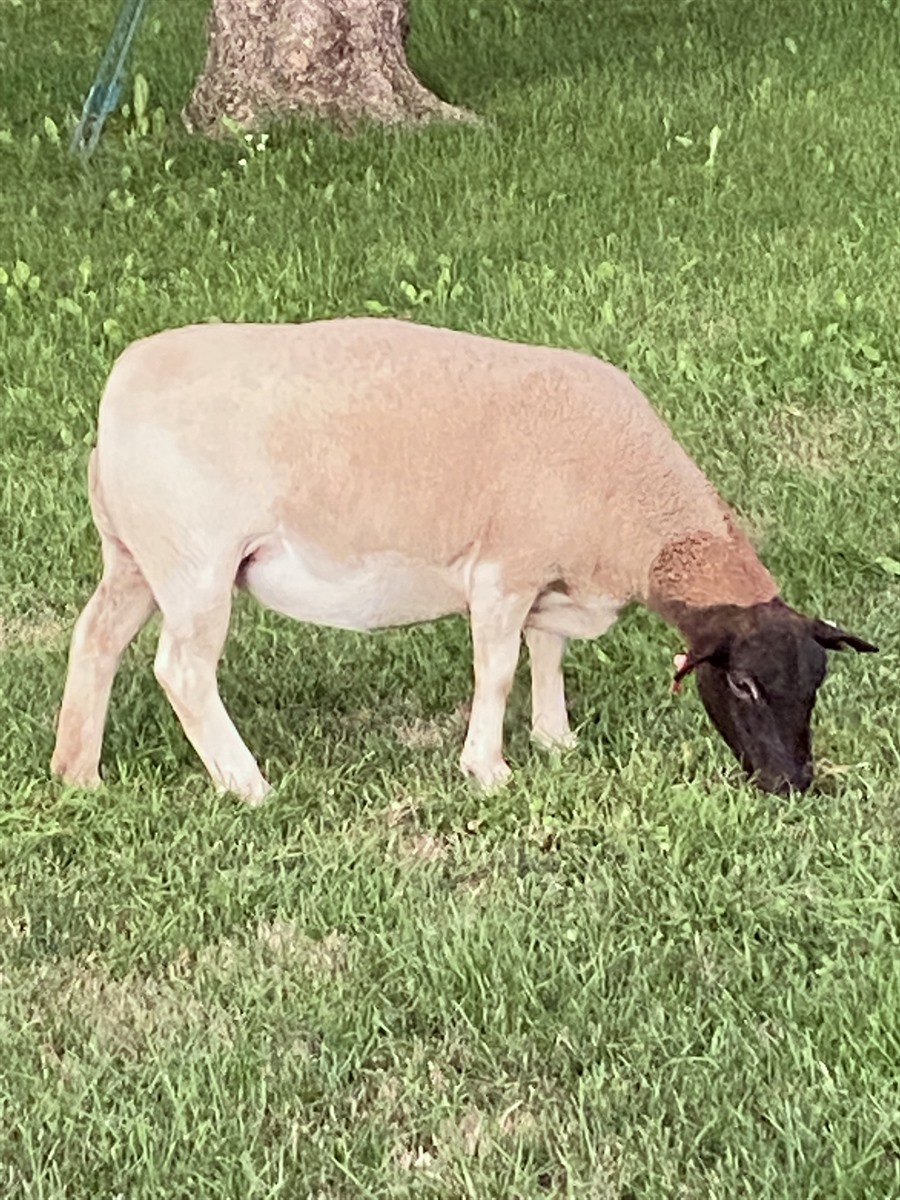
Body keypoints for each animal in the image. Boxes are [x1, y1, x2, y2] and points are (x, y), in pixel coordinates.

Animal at [50, 318, 877, 801]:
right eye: (740, 684)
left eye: (817, 684)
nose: (793, 782)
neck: (638, 510)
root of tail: (120, 389)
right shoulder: (504, 569)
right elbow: (500, 668)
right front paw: (489, 769)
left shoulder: (548, 576)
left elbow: (547, 651)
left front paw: (555, 739)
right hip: (197, 560)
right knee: (182, 670)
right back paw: (247, 784)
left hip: (135, 555)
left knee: (96, 641)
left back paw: (78, 775)